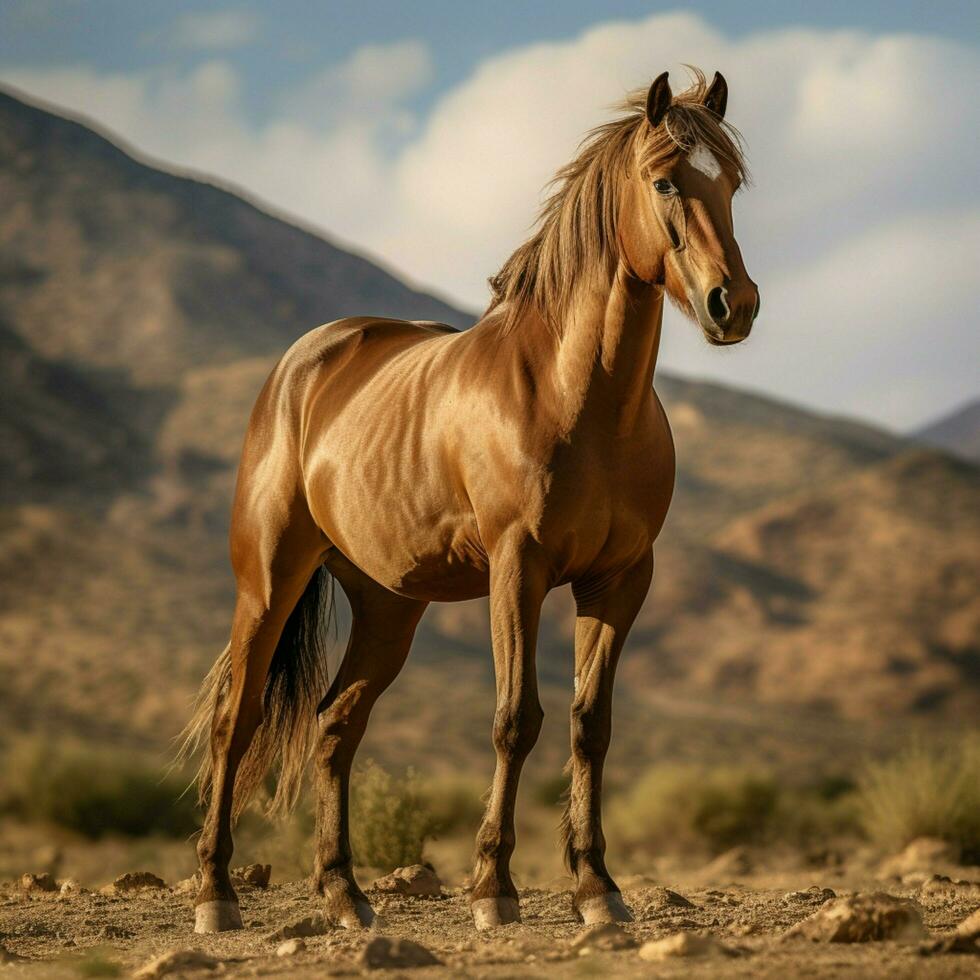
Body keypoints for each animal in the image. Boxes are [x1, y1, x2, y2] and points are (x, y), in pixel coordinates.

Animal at [182, 67, 756, 936]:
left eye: (731, 183)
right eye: (664, 180)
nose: (735, 305)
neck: (579, 397)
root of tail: (306, 362)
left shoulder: (621, 579)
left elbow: (591, 726)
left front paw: (599, 888)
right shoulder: (518, 568)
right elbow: (515, 720)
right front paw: (494, 890)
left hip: (388, 606)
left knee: (335, 727)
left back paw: (346, 897)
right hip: (269, 584)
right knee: (236, 720)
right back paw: (217, 895)